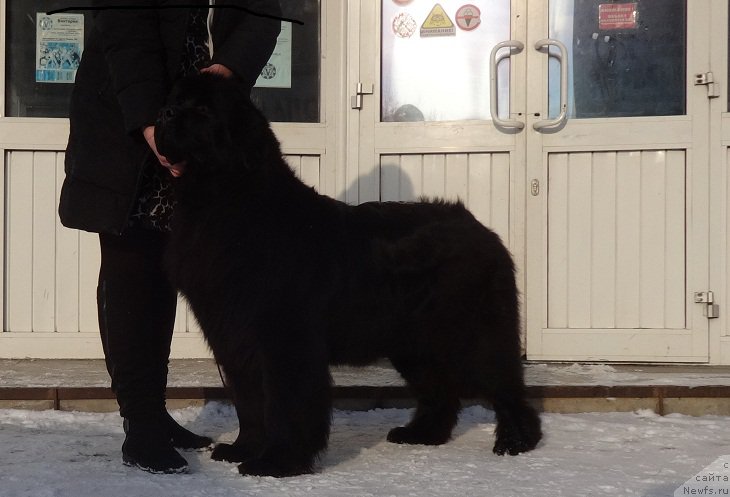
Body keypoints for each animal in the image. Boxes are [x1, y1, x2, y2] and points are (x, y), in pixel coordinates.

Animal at [155, 74, 540, 476]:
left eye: (202, 109)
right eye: (173, 101)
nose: (163, 114)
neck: (226, 202)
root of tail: (480, 228)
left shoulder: (285, 337)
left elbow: (286, 403)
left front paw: (278, 462)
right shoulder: (233, 339)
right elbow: (249, 402)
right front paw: (244, 449)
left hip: (469, 333)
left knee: (505, 384)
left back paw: (516, 441)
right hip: (413, 343)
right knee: (440, 390)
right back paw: (421, 434)